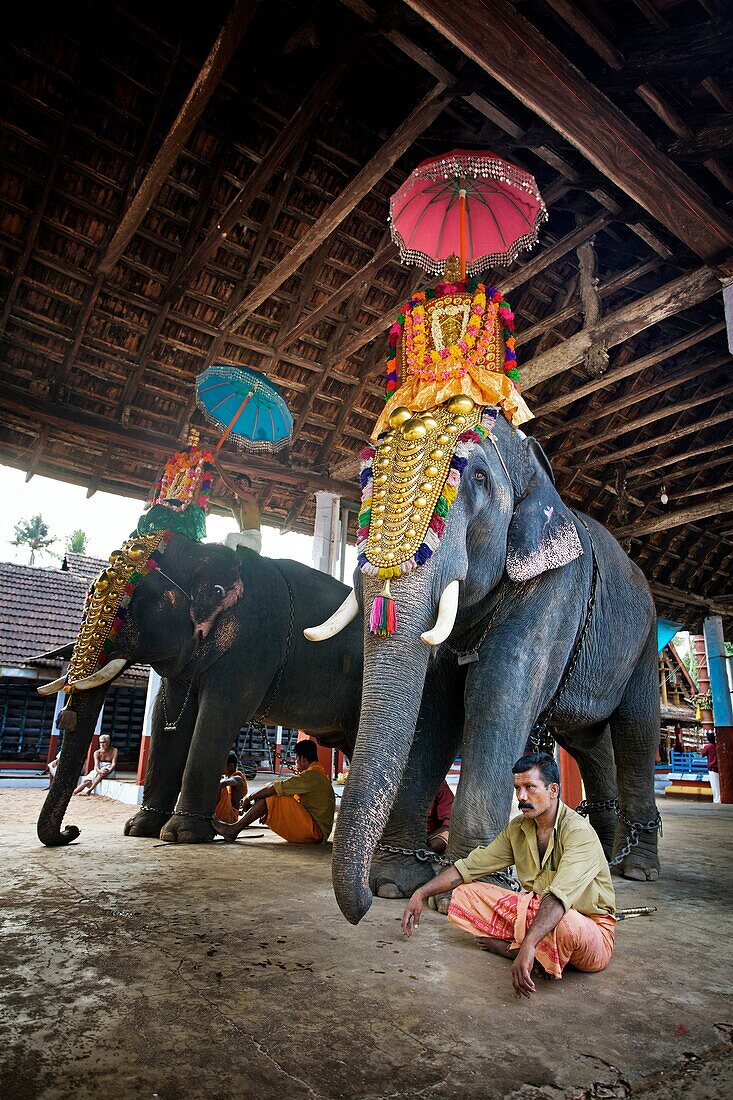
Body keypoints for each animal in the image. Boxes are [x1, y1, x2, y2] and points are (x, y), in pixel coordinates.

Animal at [37, 536, 363, 844]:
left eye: (132, 602)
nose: (71, 830)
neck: (200, 552)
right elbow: (165, 718)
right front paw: (139, 829)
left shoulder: (253, 642)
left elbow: (220, 713)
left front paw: (182, 835)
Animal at [305, 279, 660, 924]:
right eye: (364, 480)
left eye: (473, 481)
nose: (360, 905)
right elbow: (435, 702)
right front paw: (396, 882)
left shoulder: (557, 585)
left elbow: (498, 692)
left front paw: (473, 890)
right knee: (590, 741)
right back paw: (603, 855)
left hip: (644, 634)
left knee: (636, 731)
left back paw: (638, 870)